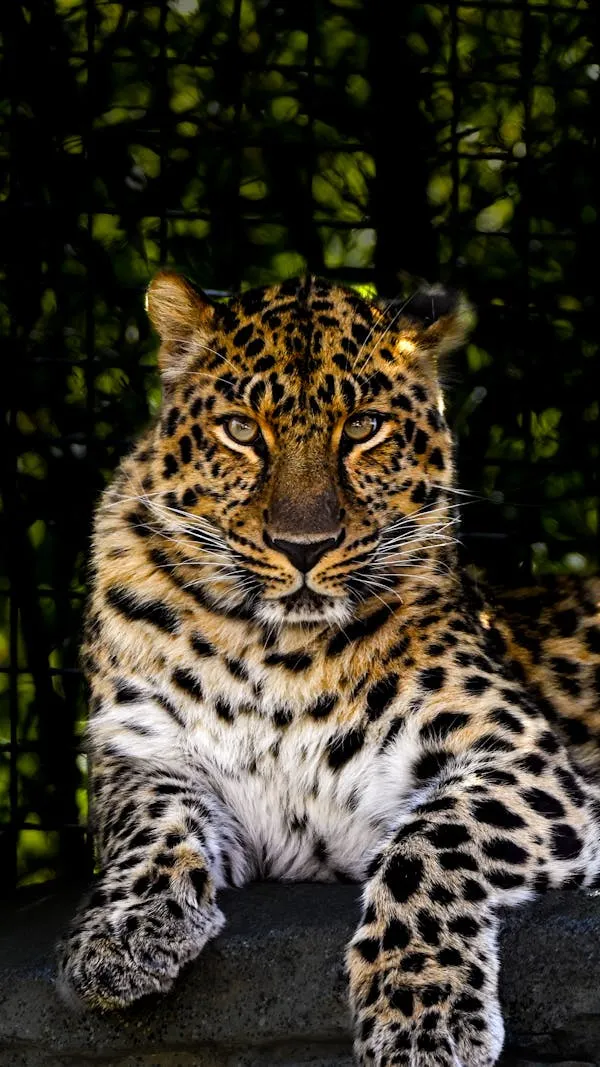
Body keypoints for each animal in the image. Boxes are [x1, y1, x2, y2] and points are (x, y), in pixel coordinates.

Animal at [56, 271, 600, 1067]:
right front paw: (121, 933)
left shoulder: (522, 761)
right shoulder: (142, 752)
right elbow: (151, 823)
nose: (303, 546)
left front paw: (421, 1014)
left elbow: (429, 845)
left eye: (364, 426)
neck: (277, 651)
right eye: (242, 430)